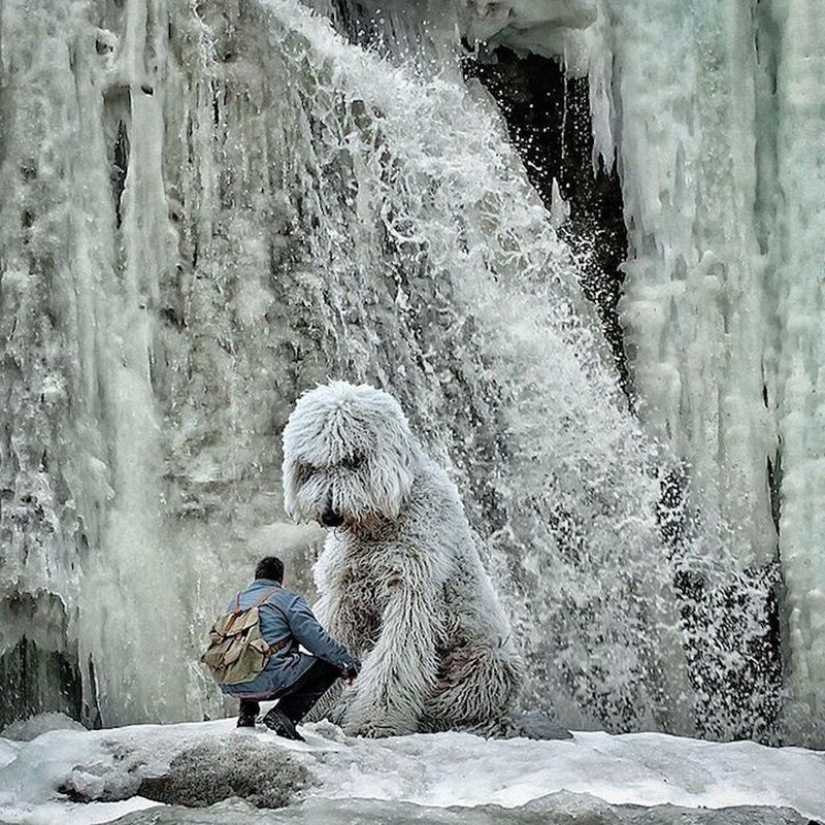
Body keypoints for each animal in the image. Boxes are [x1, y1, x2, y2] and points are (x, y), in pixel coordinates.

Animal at [282, 380, 520, 732]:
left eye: (353, 459)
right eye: (312, 467)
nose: (330, 514)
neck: (379, 527)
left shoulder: (411, 593)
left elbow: (396, 660)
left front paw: (375, 722)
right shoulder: (344, 593)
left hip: (485, 664)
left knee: (450, 701)